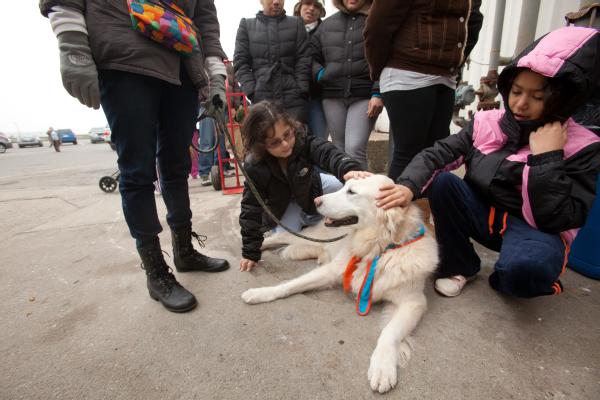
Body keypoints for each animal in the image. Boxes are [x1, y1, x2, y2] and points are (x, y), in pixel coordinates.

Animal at [241, 176, 438, 394]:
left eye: (351, 192)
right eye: (344, 186)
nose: (316, 200)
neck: (376, 248)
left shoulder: (414, 302)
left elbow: (389, 332)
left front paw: (382, 367)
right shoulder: (332, 271)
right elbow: (291, 285)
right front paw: (260, 293)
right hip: (304, 235)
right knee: (277, 237)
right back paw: (251, 250)